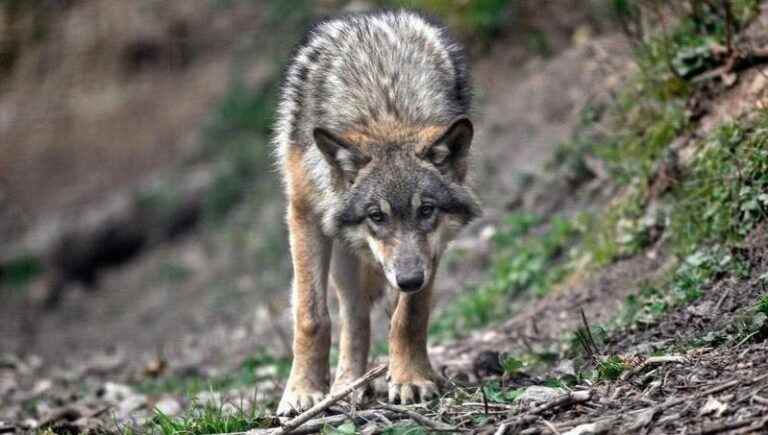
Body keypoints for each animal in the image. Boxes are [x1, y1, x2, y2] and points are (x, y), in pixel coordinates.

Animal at [272, 7, 480, 416]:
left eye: (426, 210)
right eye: (376, 216)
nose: (409, 279)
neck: (385, 110)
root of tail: (368, 17)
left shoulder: (433, 247)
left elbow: (409, 317)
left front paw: (411, 378)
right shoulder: (304, 215)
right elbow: (311, 317)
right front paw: (302, 391)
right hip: (343, 253)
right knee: (352, 316)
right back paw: (347, 386)